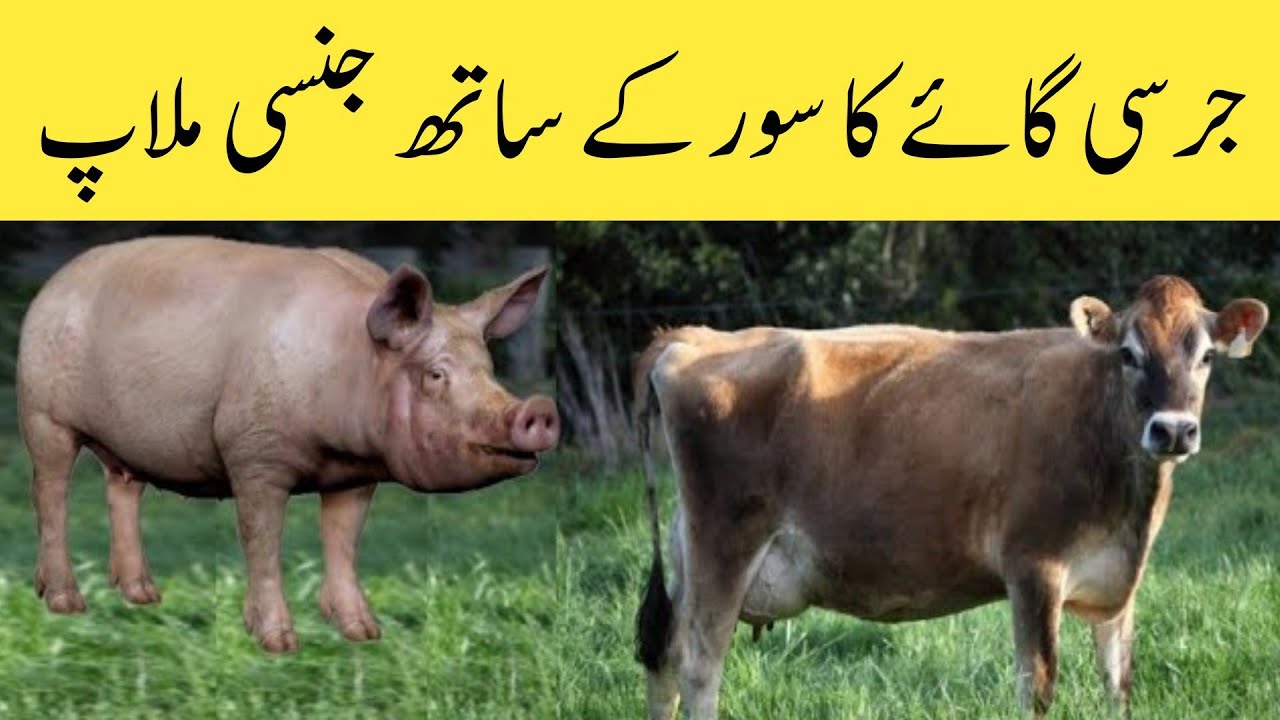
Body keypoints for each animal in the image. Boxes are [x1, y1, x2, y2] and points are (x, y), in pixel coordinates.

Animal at [16, 236, 560, 652]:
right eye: (435, 374)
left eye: (489, 370)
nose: (538, 409)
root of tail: (52, 284)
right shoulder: (252, 451)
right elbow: (262, 543)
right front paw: (279, 644)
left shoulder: (355, 476)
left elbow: (342, 541)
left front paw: (365, 634)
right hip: (42, 413)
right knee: (51, 493)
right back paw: (66, 603)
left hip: (123, 442)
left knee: (122, 487)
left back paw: (144, 596)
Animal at [631, 276, 1268, 719]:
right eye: (1129, 354)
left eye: (1205, 356)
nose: (1173, 430)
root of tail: (692, 337)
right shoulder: (1034, 568)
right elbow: (1037, 687)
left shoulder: (1118, 584)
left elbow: (1119, 685)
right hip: (725, 542)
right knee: (700, 666)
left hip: (691, 548)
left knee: (666, 657)